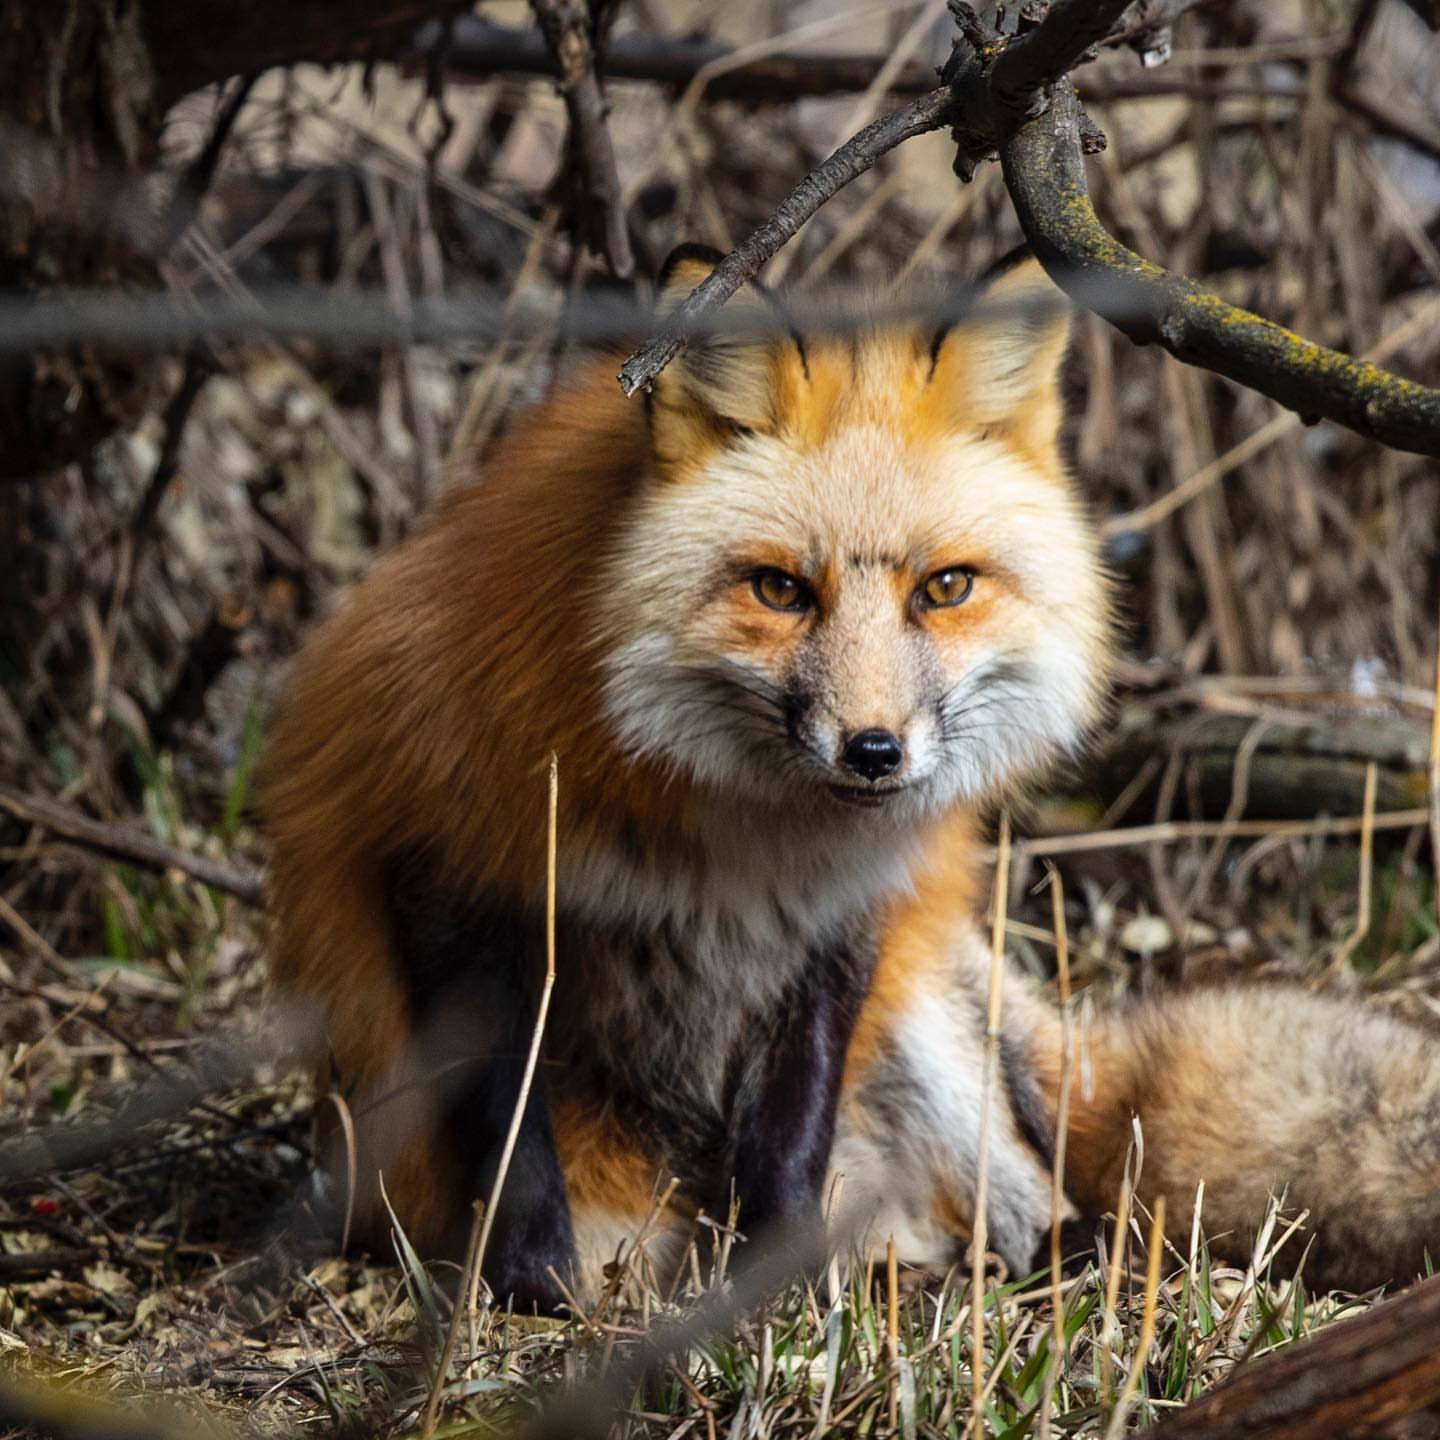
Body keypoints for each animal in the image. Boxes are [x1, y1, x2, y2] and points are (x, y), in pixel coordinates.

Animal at [264, 247, 1440, 1307]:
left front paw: (773, 1284)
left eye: (947, 588)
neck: (747, 839)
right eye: (780, 590)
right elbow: (507, 1131)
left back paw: (1015, 1267)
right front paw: (527, 1285)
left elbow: (791, 1130)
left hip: (929, 1025)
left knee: (1043, 1197)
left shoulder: (841, 922)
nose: (874, 751)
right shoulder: (448, 866)